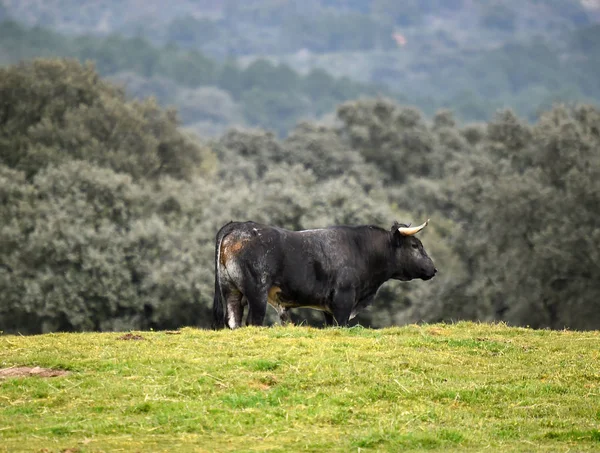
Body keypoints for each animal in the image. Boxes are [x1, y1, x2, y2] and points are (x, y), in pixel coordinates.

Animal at [211, 220, 436, 328]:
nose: (433, 269)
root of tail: (237, 226)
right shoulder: (343, 301)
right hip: (257, 294)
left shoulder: (328, 307)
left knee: (233, 321)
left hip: (231, 292)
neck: (360, 248)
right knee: (253, 321)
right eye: (415, 245)